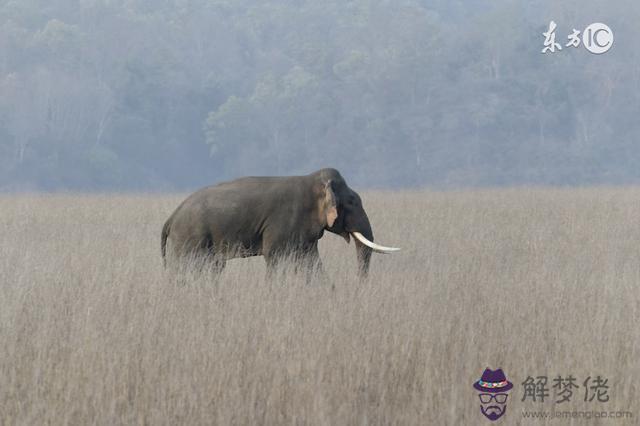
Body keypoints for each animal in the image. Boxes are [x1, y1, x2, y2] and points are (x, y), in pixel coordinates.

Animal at [162, 168, 398, 278]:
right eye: (352, 202)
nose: (359, 285)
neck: (312, 181)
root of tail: (172, 216)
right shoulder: (282, 223)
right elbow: (275, 256)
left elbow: (311, 261)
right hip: (190, 239)